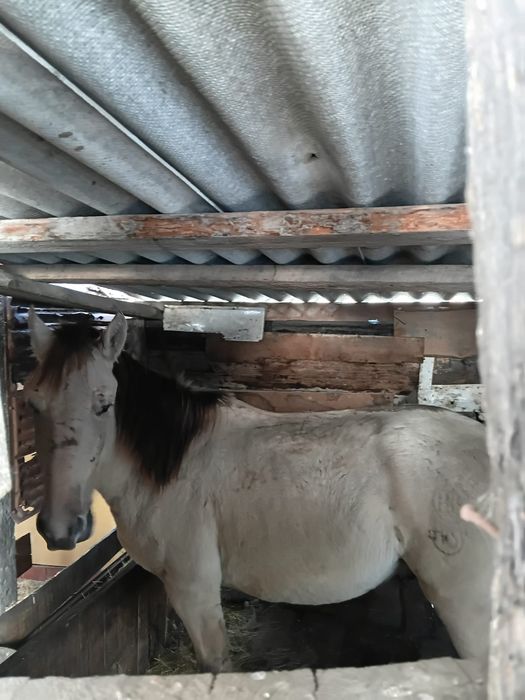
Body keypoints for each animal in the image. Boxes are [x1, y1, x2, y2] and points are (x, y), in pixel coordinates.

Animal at [25, 310, 494, 672]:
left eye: (104, 403)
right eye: (34, 403)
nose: (61, 530)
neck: (173, 463)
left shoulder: (193, 588)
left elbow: (215, 666)